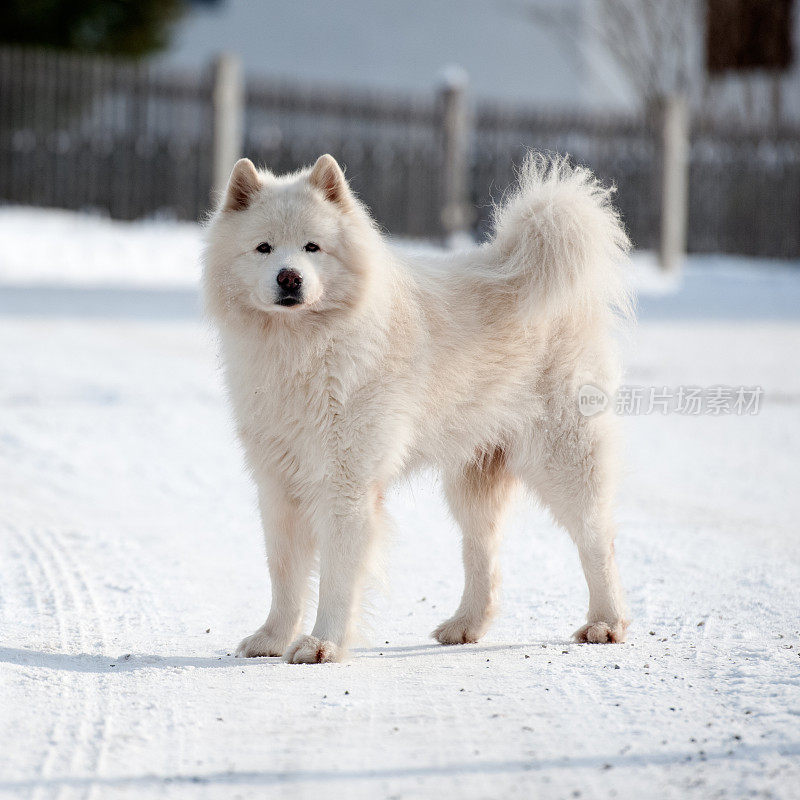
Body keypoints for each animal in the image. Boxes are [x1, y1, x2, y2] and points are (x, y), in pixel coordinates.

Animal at [200, 150, 632, 664]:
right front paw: (273, 638)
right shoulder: (279, 485)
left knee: (598, 540)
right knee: (482, 553)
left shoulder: (346, 486)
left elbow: (337, 578)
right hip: (473, 476)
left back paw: (605, 623)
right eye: (263, 248)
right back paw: (466, 625)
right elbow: (284, 573)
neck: (302, 349)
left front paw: (324, 643)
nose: (290, 278)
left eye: (312, 247)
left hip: (564, 462)